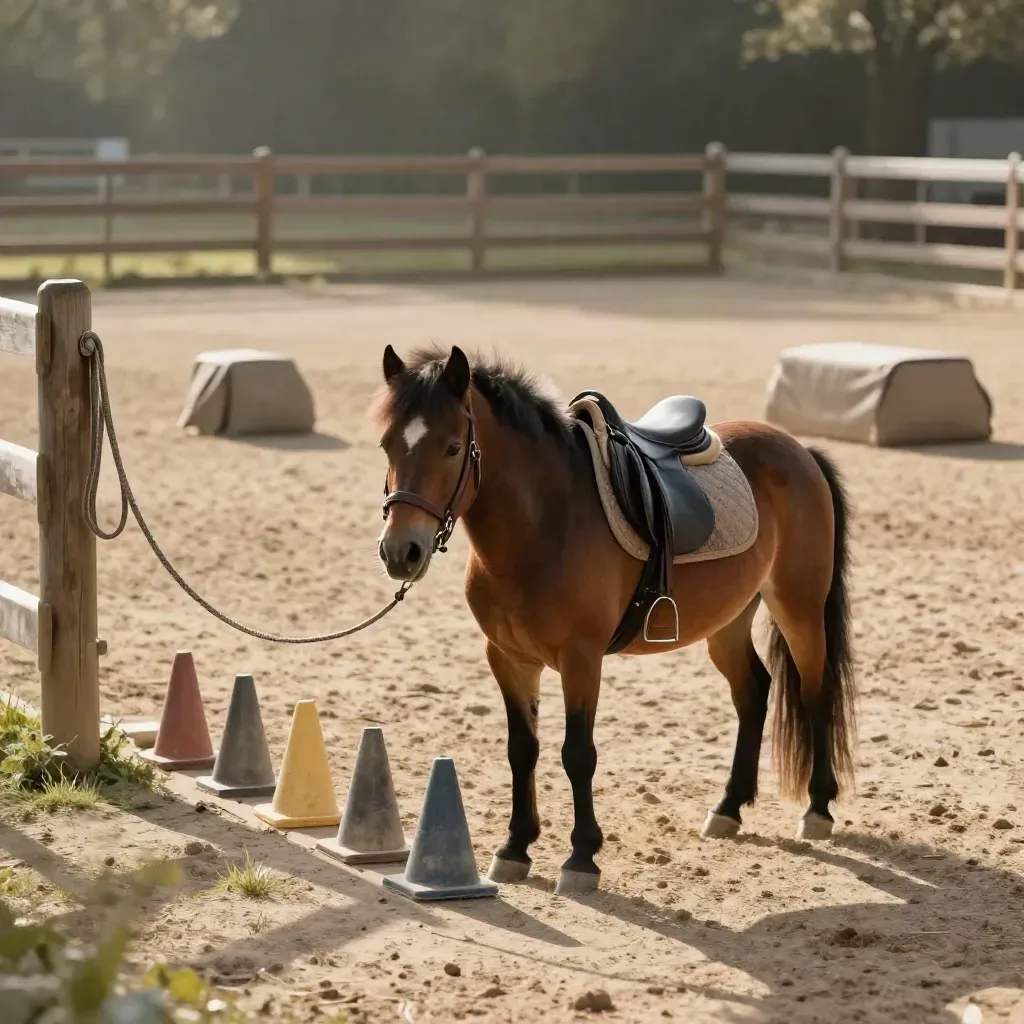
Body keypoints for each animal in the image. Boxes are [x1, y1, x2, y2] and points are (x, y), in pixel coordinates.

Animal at [373, 342, 855, 895]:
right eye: (387, 445)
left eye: (453, 448)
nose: (401, 552)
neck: (545, 524)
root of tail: (799, 450)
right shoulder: (509, 659)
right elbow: (523, 749)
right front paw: (515, 847)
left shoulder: (582, 661)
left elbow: (577, 754)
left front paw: (582, 857)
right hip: (728, 621)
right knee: (754, 691)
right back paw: (728, 808)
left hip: (799, 609)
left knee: (815, 692)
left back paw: (818, 810)